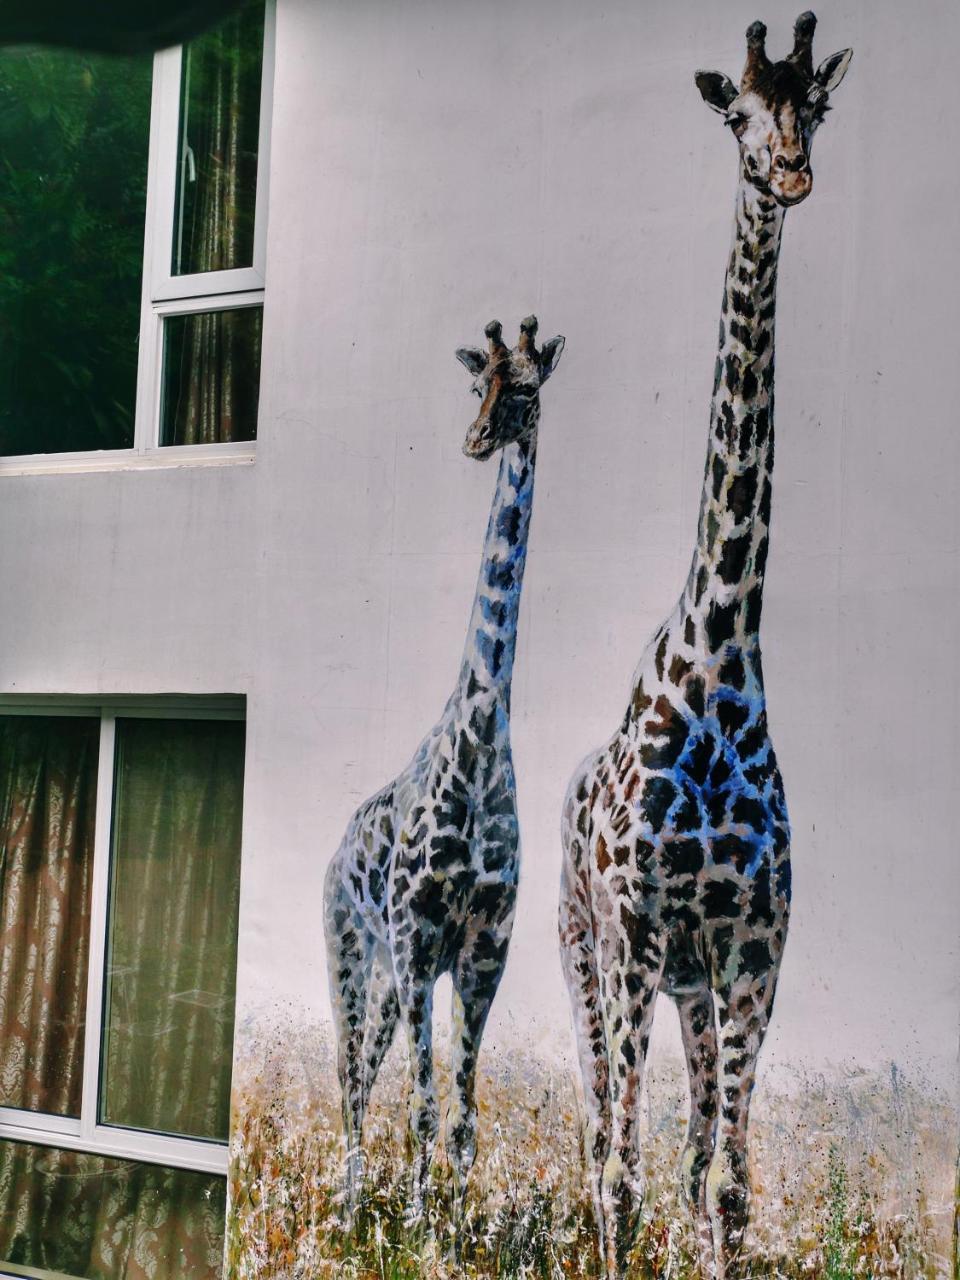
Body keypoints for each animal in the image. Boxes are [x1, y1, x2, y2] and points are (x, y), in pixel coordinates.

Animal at [323, 312, 563, 1228]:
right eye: (474, 382)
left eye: (525, 386)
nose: (475, 440)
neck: (481, 735)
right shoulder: (417, 934)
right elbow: (422, 1106)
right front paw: (417, 1230)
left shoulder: (484, 946)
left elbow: (462, 1114)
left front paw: (458, 1229)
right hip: (354, 953)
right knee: (350, 1077)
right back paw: (352, 1207)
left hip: (393, 976)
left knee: (368, 1074)